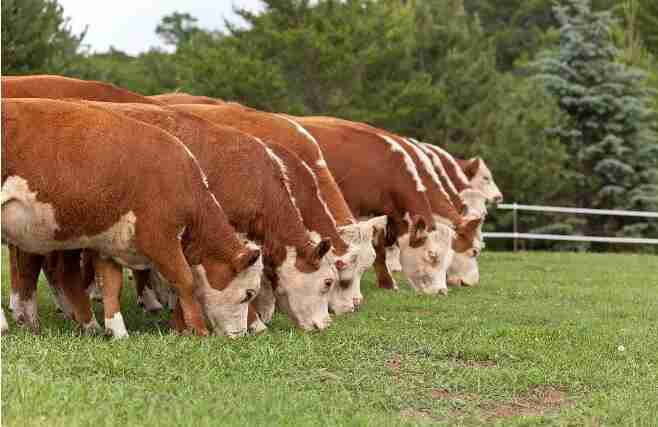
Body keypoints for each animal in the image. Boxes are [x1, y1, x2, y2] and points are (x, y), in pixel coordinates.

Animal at [1, 99, 264, 338]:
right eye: (249, 294)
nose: (242, 335)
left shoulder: (109, 243)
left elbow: (111, 286)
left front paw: (118, 332)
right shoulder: (159, 237)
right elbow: (185, 280)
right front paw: (199, 331)